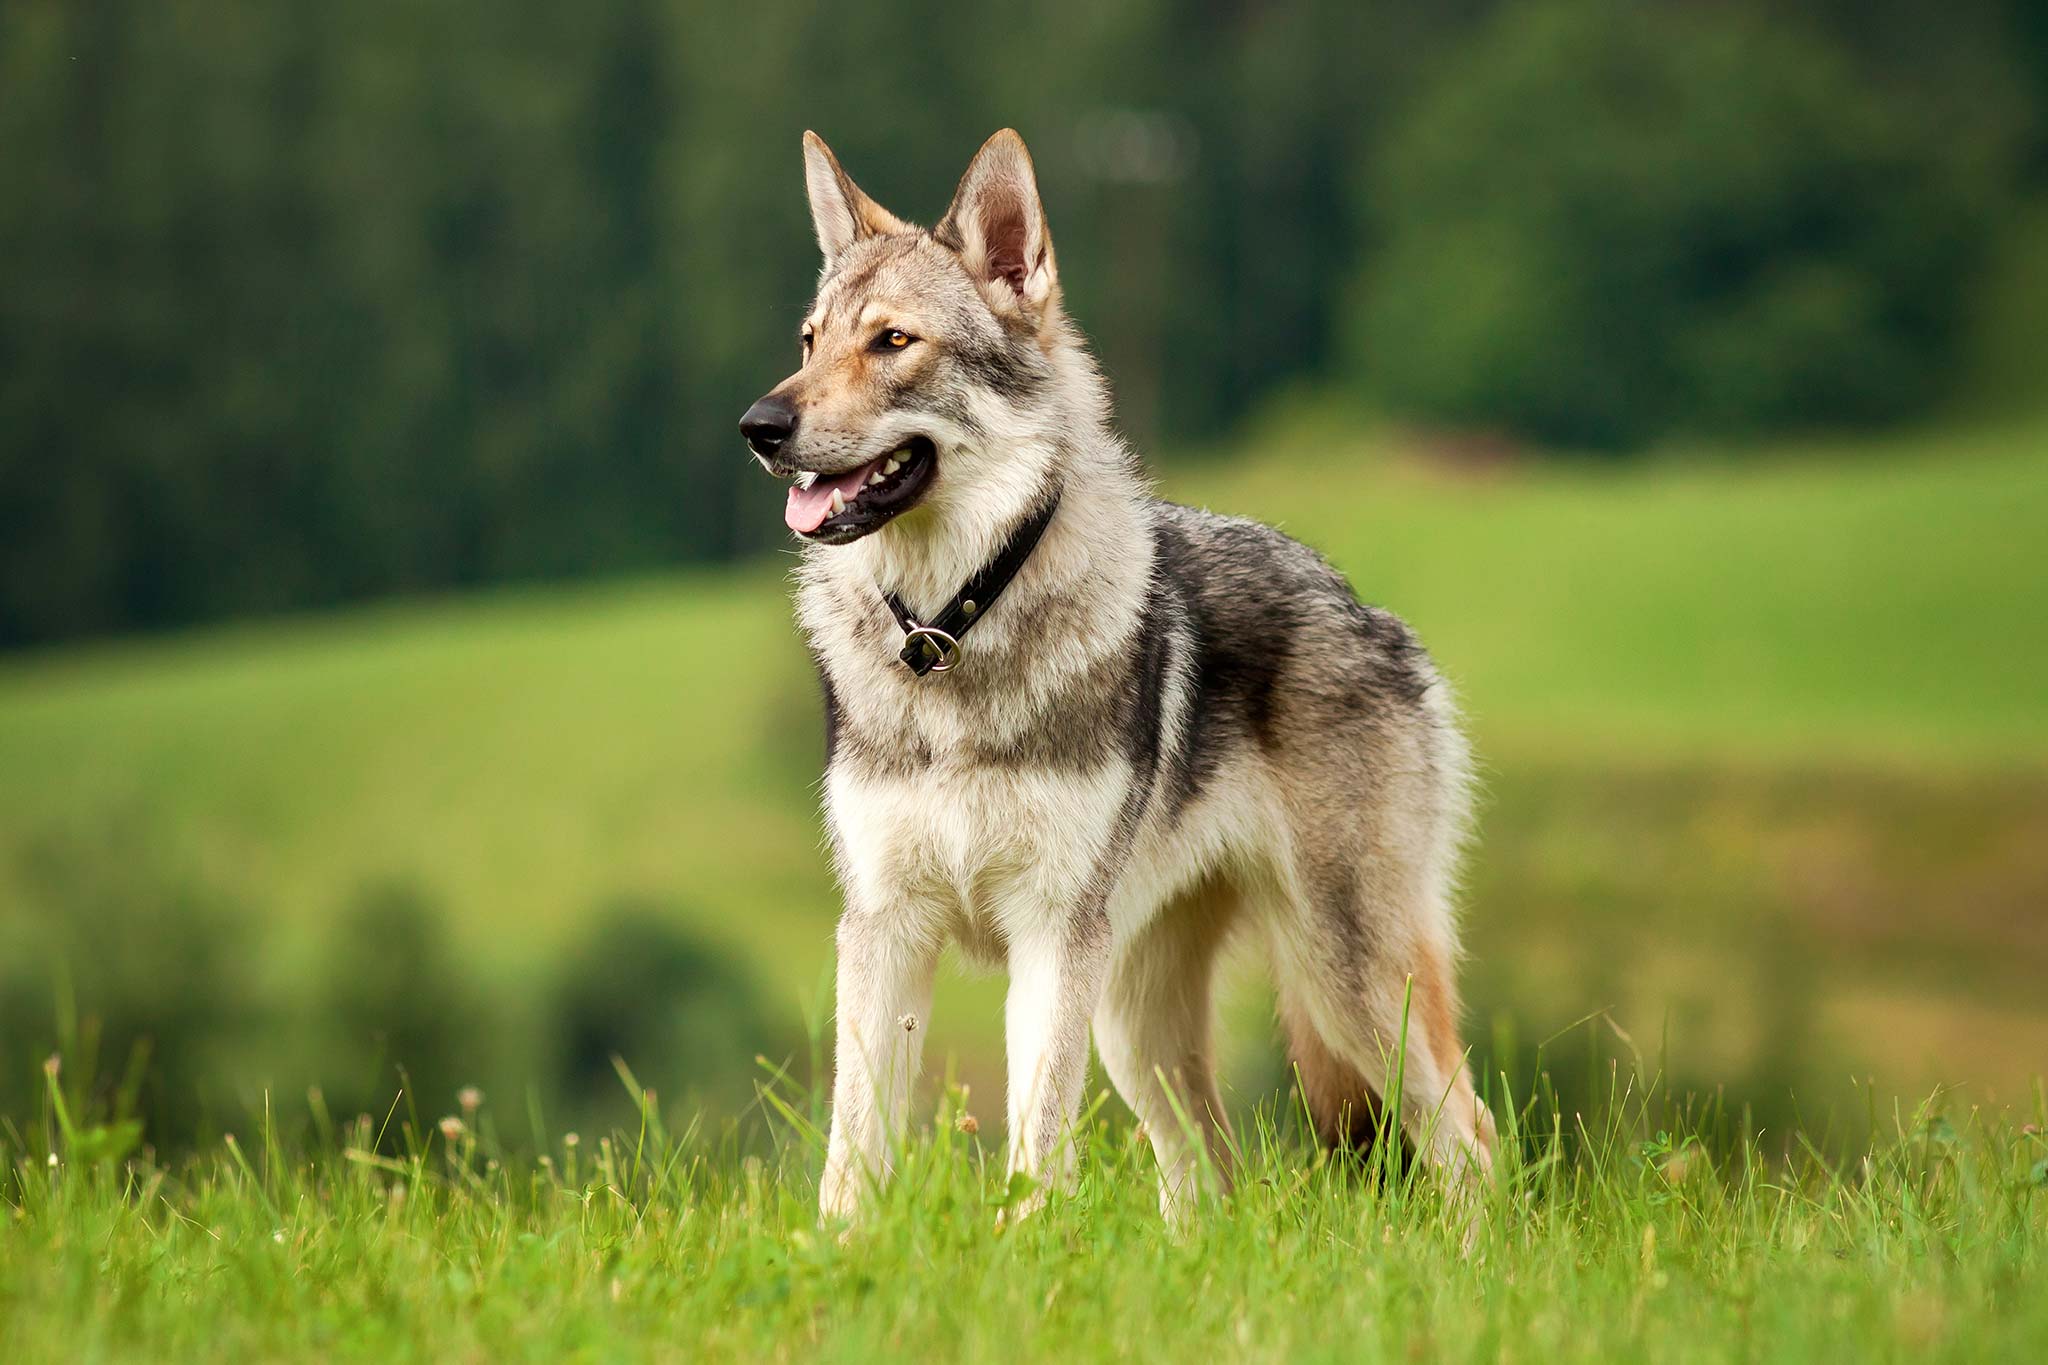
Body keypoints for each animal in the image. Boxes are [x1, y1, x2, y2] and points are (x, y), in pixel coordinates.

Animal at [740, 129, 1495, 1221]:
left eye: (891, 342)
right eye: (807, 342)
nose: (758, 425)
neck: (951, 633)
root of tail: (1368, 608)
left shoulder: (1051, 936)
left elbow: (1035, 1144)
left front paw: (1022, 1248)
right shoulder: (884, 928)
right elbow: (853, 1151)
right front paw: (840, 1252)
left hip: (1343, 980)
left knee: (1471, 1140)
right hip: (1141, 1029)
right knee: (1211, 1178)